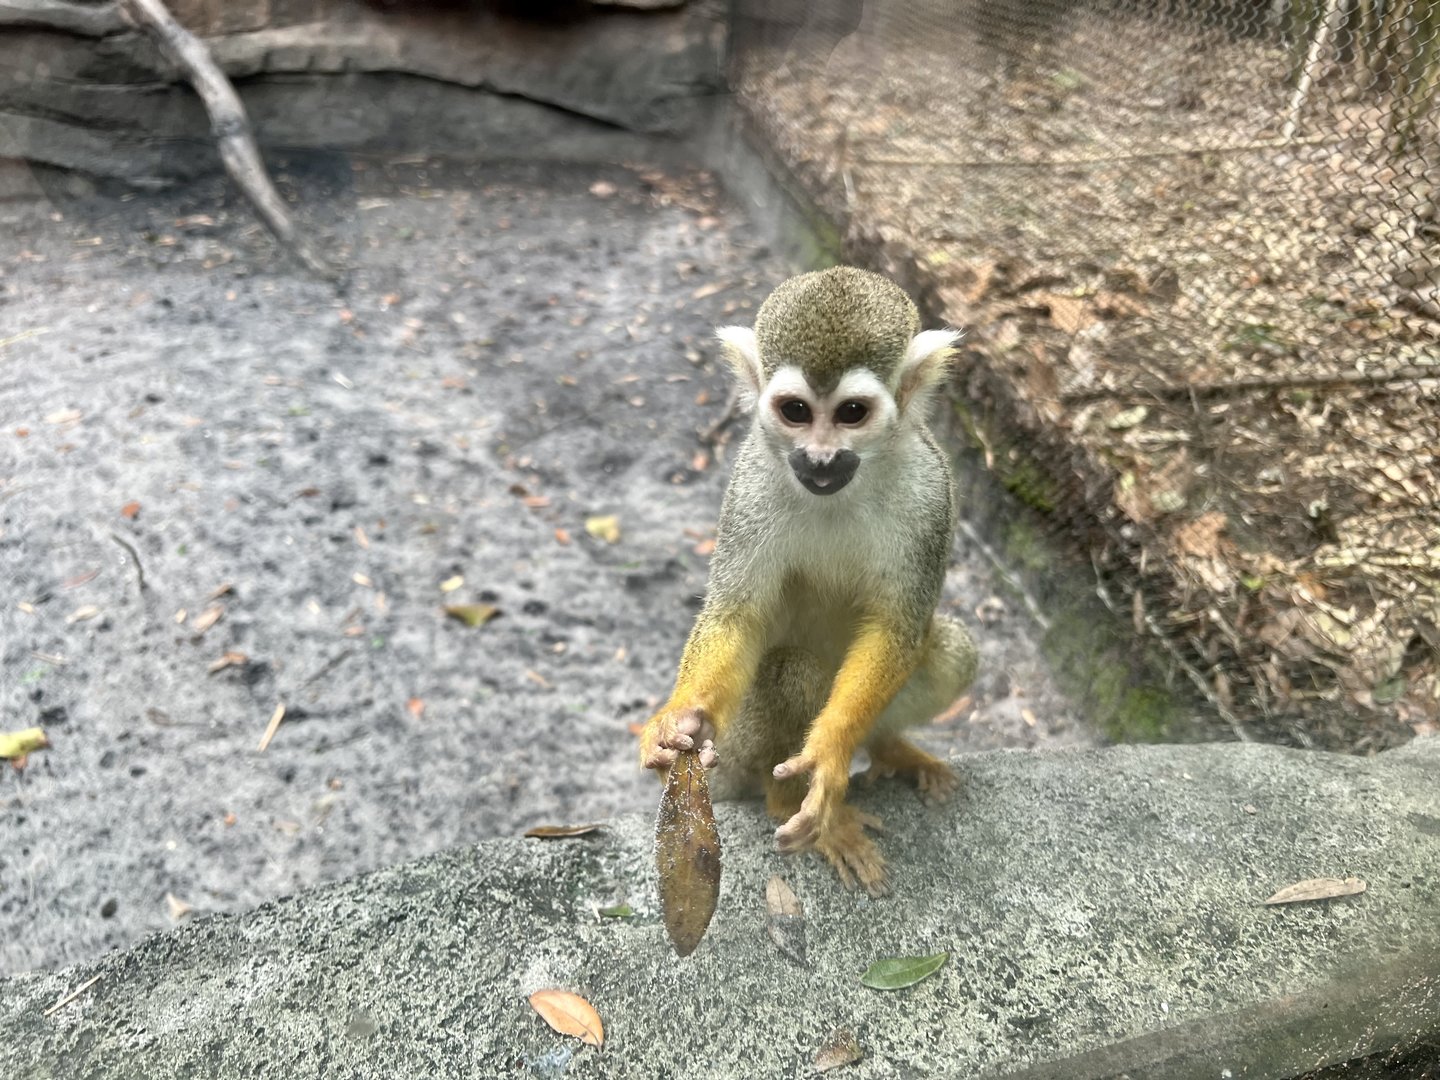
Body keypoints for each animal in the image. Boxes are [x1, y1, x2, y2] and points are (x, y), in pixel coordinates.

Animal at [640, 266, 978, 896]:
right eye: (796, 410)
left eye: (851, 413)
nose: (820, 459)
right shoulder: (749, 483)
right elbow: (737, 616)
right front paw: (679, 717)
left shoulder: (931, 491)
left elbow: (899, 627)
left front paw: (829, 752)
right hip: (738, 749)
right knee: (788, 670)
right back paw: (788, 803)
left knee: (951, 650)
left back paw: (886, 749)